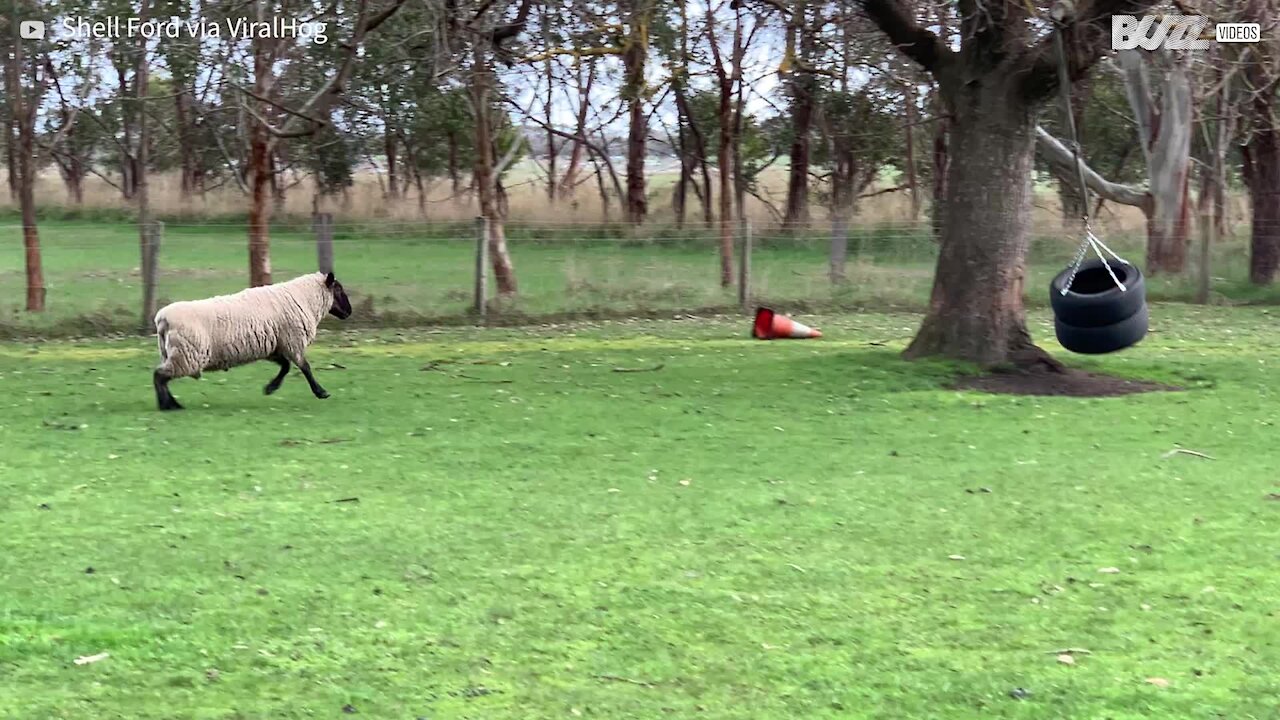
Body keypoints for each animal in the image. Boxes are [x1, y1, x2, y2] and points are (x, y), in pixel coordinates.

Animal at [151, 269, 353, 409]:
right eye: (339, 289)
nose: (349, 312)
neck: (306, 299)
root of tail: (162, 318)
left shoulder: (274, 346)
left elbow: (286, 366)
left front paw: (270, 388)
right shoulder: (292, 341)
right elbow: (305, 367)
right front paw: (321, 392)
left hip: (174, 354)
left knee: (161, 376)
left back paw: (172, 404)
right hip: (187, 355)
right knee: (159, 376)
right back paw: (167, 406)